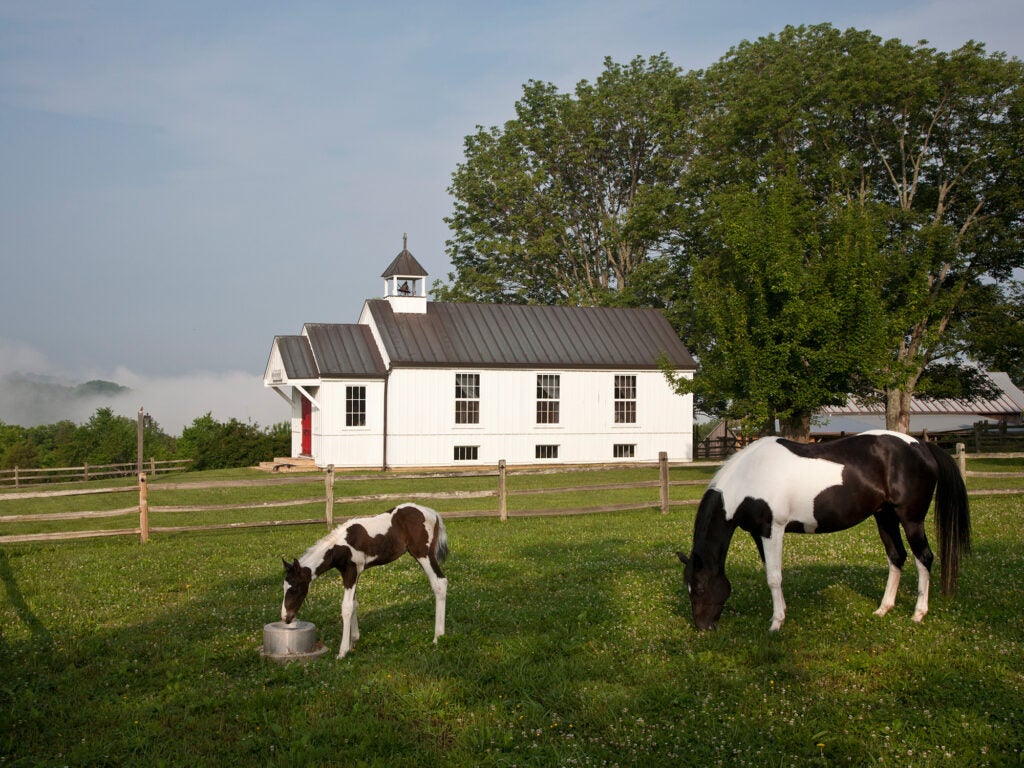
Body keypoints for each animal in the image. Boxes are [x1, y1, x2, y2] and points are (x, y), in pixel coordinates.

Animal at [284, 501, 452, 659]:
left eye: (294, 588)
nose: (286, 618)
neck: (340, 545)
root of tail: (433, 513)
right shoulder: (352, 573)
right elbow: (354, 604)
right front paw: (353, 641)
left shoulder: (351, 572)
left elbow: (346, 607)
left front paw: (343, 651)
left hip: (423, 554)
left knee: (439, 583)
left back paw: (438, 637)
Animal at [675, 430, 970, 634]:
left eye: (699, 587)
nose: (703, 627)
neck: (748, 477)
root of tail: (922, 446)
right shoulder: (759, 533)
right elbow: (770, 572)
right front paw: (780, 614)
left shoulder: (773, 529)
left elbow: (774, 577)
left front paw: (776, 623)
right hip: (884, 517)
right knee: (897, 557)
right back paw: (883, 609)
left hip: (911, 519)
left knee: (924, 558)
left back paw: (918, 613)